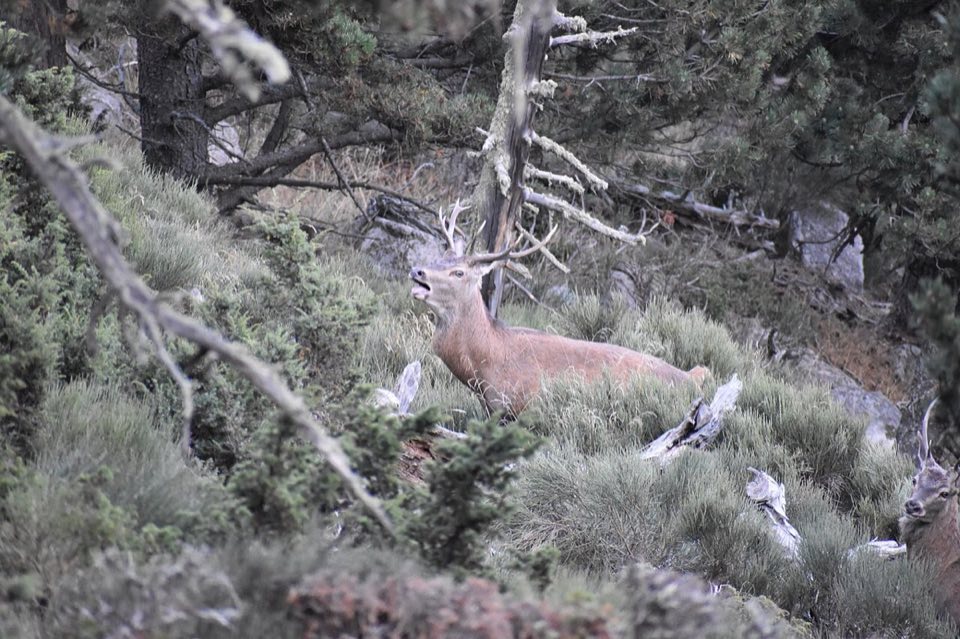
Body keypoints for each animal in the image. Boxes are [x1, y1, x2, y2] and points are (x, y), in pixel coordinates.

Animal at [408, 201, 711, 418]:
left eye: (458, 272)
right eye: (443, 256)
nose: (417, 270)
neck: (484, 366)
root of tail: (693, 377)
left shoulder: (519, 407)